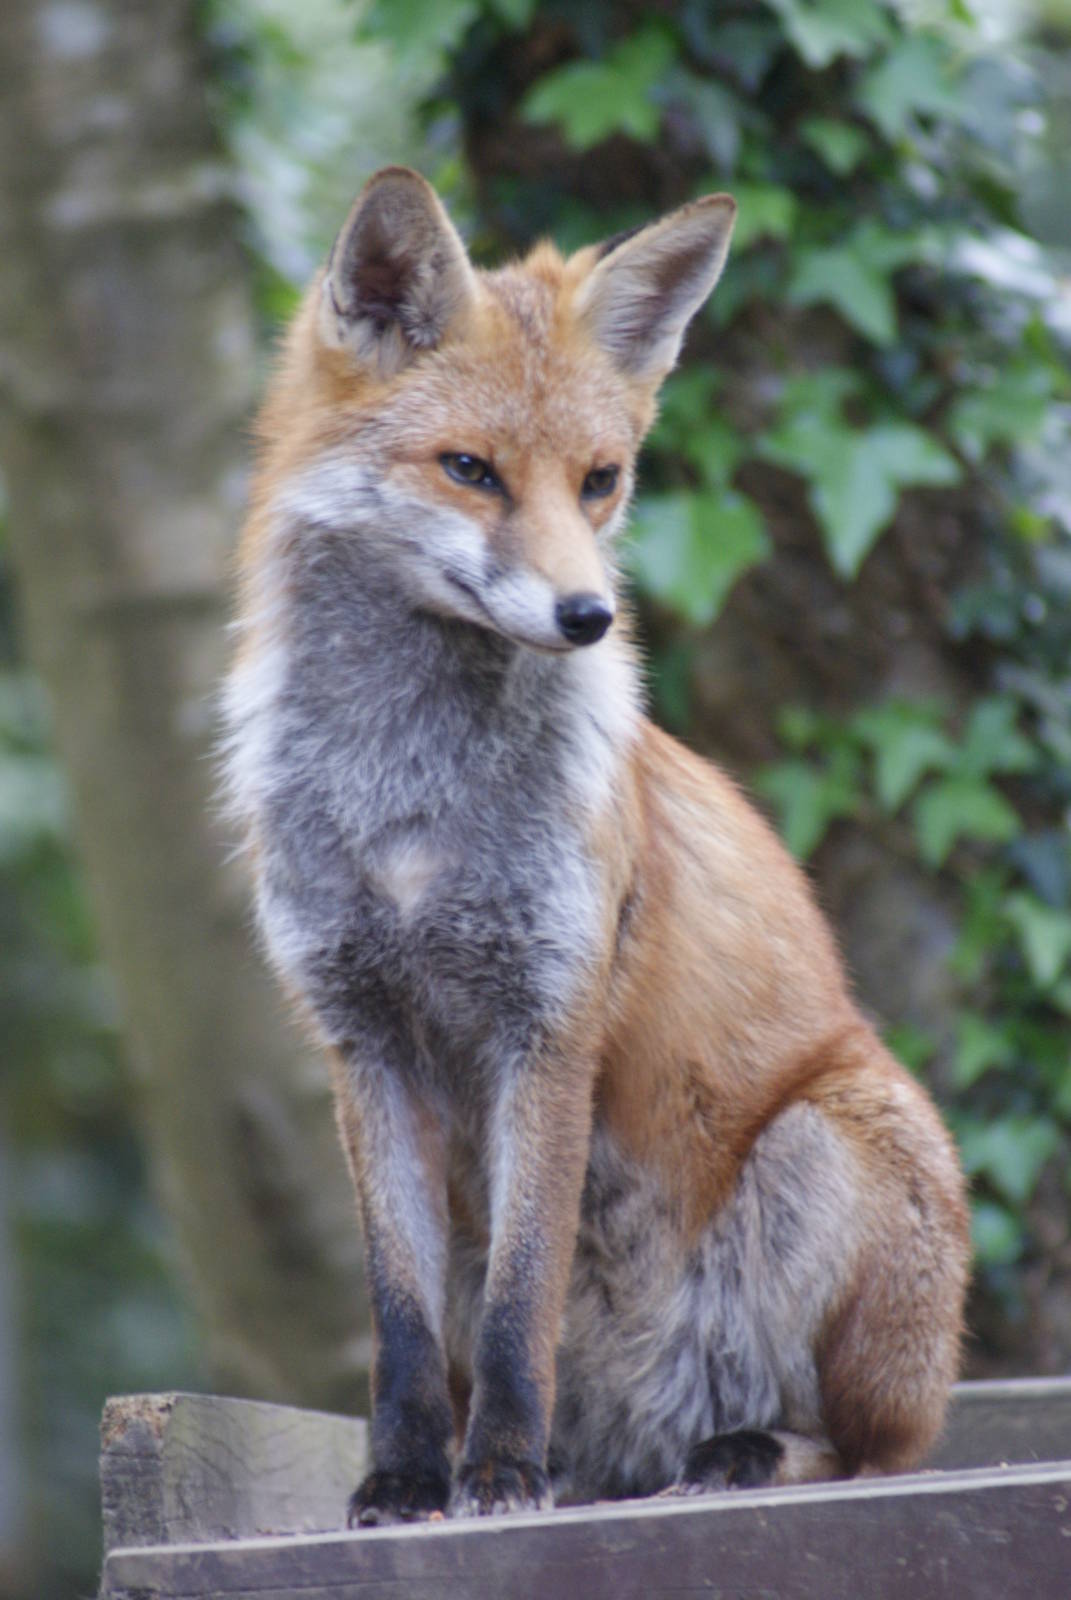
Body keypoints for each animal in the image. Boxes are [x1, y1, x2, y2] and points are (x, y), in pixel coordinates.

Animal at [222, 166, 970, 1524]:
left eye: (600, 480)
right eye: (470, 469)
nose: (589, 616)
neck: (411, 800)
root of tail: (632, 1441)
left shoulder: (549, 1020)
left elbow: (523, 1304)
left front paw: (501, 1470)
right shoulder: (362, 1037)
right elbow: (403, 1326)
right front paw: (406, 1478)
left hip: (834, 1141)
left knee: (871, 1449)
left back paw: (729, 1451)